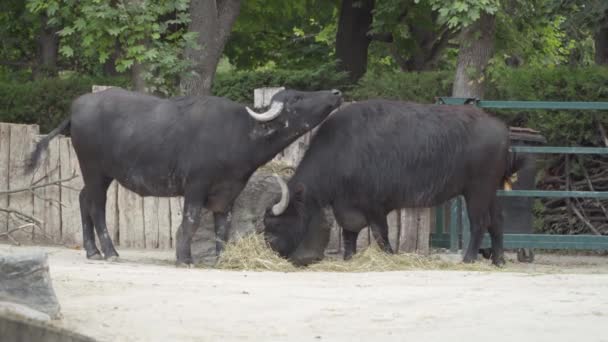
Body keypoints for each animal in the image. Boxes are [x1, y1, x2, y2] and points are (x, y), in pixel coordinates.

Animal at [25, 87, 342, 266]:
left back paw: (91, 251)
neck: (239, 134)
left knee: (83, 200)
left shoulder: (227, 193)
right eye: (298, 97)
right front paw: (184, 257)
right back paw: (110, 252)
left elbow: (223, 228)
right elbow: (189, 222)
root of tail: (76, 109)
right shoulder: (195, 187)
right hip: (94, 169)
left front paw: (221, 258)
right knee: (96, 207)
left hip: (98, 175)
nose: (336, 93)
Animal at [264, 99, 524, 268]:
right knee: (497, 220)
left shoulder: (375, 206)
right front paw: (349, 258)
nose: (270, 248)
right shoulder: (345, 206)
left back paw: (469, 259)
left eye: (275, 222)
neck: (341, 149)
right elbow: (349, 233)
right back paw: (499, 260)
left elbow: (381, 234)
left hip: (477, 191)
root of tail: (502, 130)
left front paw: (389, 255)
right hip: (491, 191)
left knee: (480, 222)